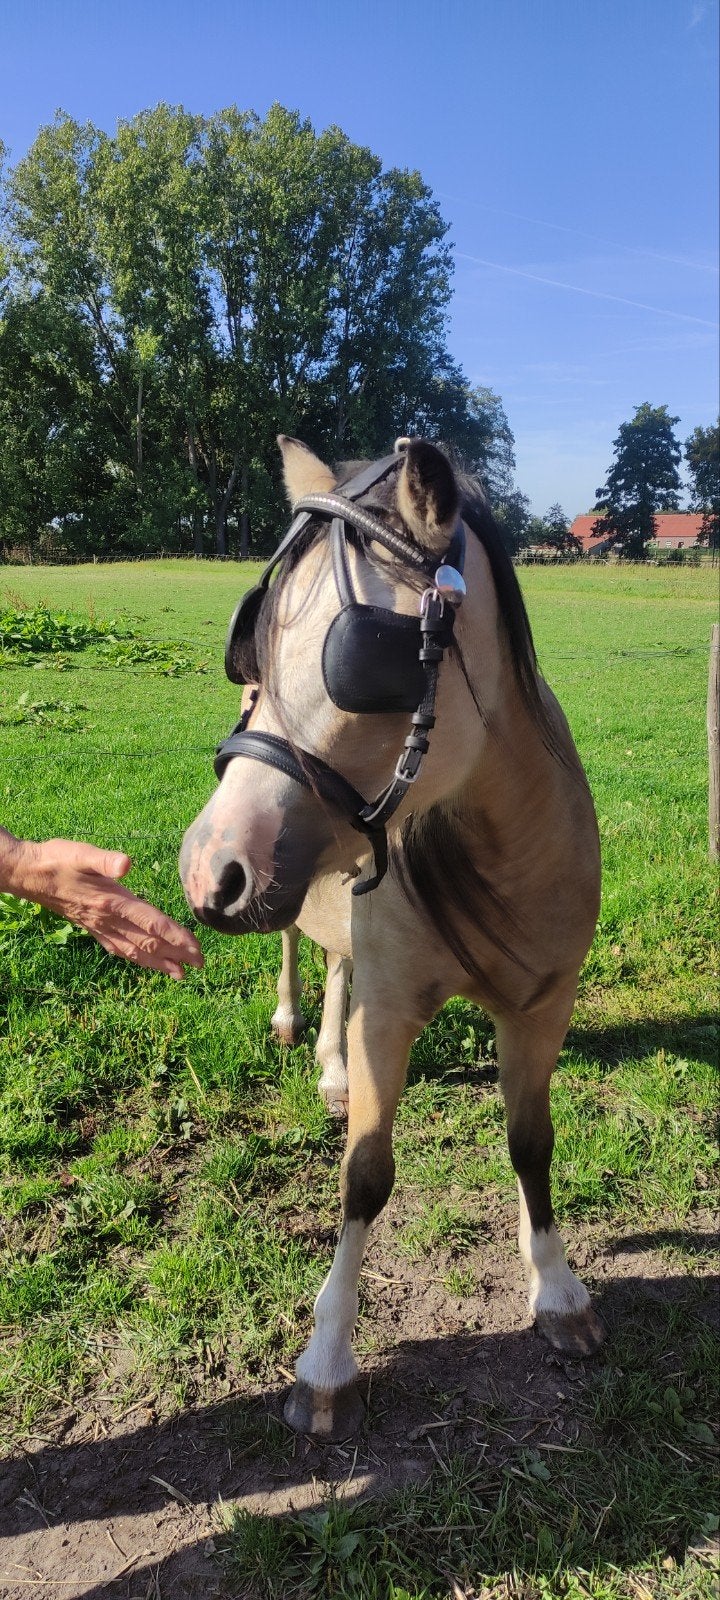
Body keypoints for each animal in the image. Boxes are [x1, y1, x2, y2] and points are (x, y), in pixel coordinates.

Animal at [180, 434, 604, 1441]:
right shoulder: (389, 1016)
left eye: (363, 660)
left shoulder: (542, 1007)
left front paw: (557, 1291)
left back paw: (330, 1067)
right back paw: (296, 1025)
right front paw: (327, 1361)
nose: (207, 870)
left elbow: (532, 1143)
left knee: (338, 955)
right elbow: (365, 1177)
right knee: (302, 951)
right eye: (255, 647)